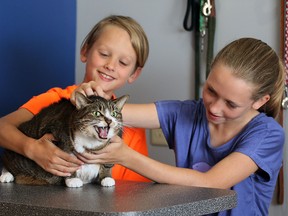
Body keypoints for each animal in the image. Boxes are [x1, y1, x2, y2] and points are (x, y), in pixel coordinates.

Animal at [0, 92, 128, 188]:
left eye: (114, 113)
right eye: (97, 113)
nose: (109, 120)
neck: (91, 142)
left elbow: (107, 164)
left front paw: (107, 178)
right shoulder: (61, 137)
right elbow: (69, 160)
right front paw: (72, 180)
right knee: (7, 161)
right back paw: (6, 175)